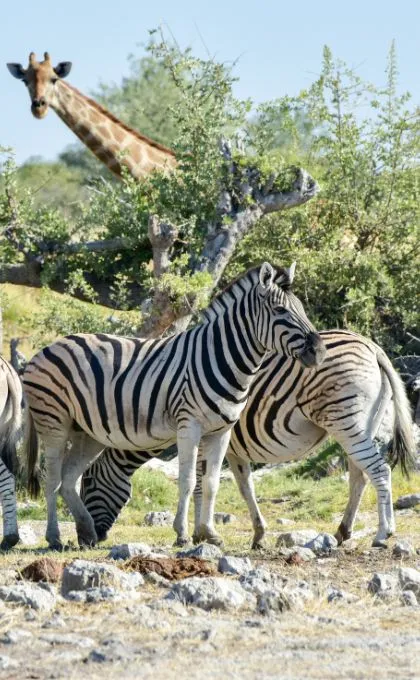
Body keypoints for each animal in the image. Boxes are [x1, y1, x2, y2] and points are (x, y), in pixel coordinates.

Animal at [22, 262, 324, 548]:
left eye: (301, 309)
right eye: (280, 310)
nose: (319, 352)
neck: (224, 357)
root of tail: (47, 348)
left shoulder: (221, 432)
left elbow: (211, 483)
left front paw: (209, 533)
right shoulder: (189, 425)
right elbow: (188, 480)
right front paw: (182, 534)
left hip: (87, 432)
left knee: (68, 479)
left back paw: (85, 531)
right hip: (53, 422)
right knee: (52, 479)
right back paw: (54, 537)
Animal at [79, 328, 416, 548]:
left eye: (89, 484)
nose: (89, 541)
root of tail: (371, 346)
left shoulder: (205, 436)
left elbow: (200, 484)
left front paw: (198, 534)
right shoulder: (232, 449)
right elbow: (243, 487)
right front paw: (256, 534)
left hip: (345, 421)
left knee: (378, 471)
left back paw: (382, 534)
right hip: (360, 426)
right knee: (359, 477)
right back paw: (343, 531)